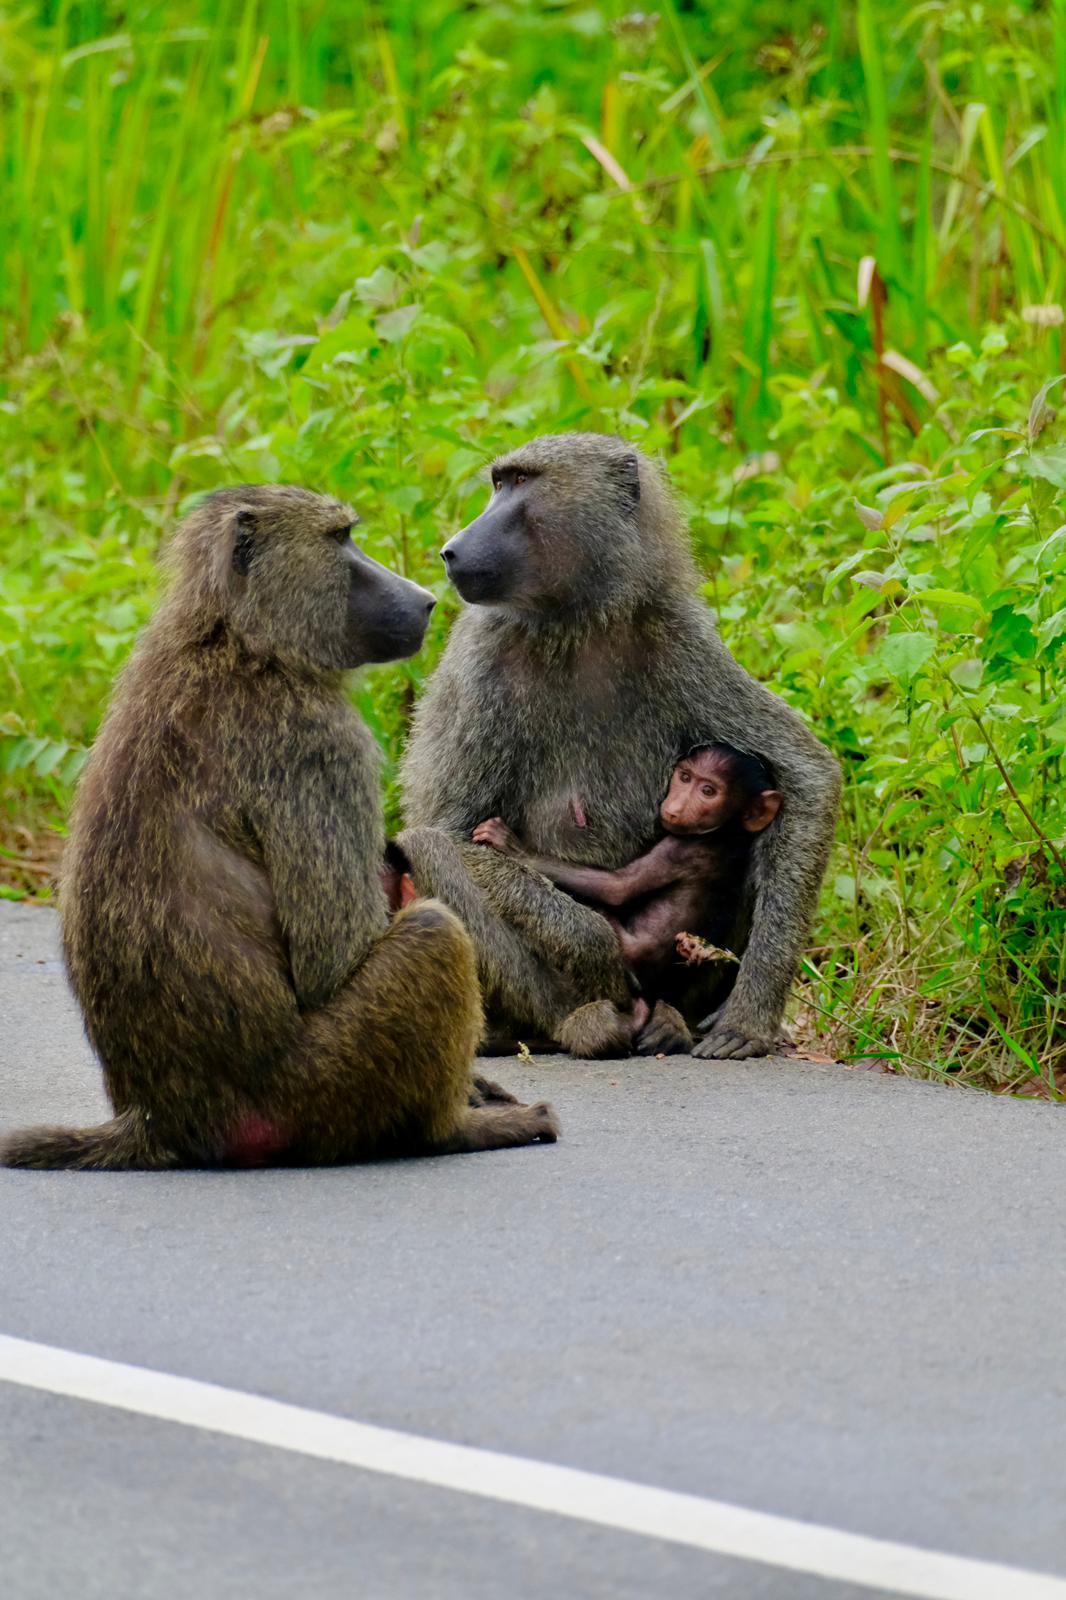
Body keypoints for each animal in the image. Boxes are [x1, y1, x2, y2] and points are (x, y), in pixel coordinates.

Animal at [0, 486, 558, 1171]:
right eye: (340, 539)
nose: (425, 598)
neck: (238, 641)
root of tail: (162, 1122)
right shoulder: (321, 744)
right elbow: (332, 959)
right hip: (316, 1088)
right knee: (434, 933)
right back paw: (454, 1129)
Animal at [472, 742, 782, 1048]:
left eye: (708, 791)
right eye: (685, 777)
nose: (676, 805)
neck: (726, 831)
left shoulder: (680, 848)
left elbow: (617, 888)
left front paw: (511, 845)